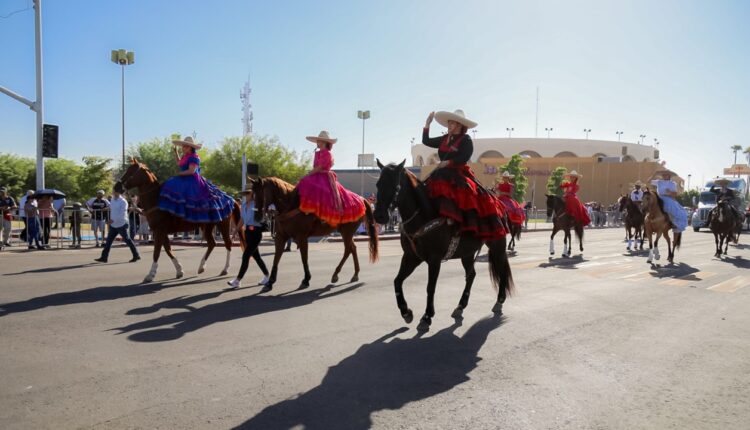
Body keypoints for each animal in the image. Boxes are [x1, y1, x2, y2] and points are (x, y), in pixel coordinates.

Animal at [117, 158, 245, 282]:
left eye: (130, 171)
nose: (117, 186)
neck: (156, 199)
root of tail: (231, 199)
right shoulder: (161, 231)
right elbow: (168, 250)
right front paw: (179, 270)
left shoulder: (159, 231)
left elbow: (157, 252)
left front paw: (150, 275)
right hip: (207, 226)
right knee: (212, 243)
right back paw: (201, 267)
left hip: (222, 225)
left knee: (228, 243)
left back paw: (225, 269)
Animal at [251, 176, 382, 292]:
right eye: (252, 194)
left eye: (260, 193)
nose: (256, 217)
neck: (292, 205)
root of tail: (361, 199)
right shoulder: (280, 237)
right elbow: (276, 258)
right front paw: (270, 282)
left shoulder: (302, 237)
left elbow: (304, 258)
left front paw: (306, 279)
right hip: (346, 232)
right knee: (352, 248)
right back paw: (354, 274)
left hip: (347, 232)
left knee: (348, 250)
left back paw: (336, 274)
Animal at [374, 161, 516, 332]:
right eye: (378, 184)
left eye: (396, 187)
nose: (379, 216)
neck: (424, 215)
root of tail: (500, 205)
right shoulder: (411, 257)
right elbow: (397, 281)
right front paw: (406, 312)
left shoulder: (434, 260)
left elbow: (430, 287)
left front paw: (427, 317)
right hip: (467, 253)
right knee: (471, 275)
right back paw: (460, 306)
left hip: (497, 245)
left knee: (502, 271)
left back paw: (499, 301)